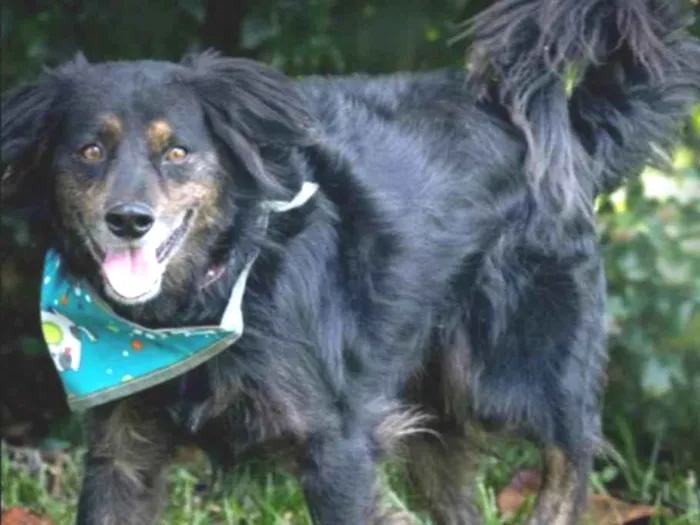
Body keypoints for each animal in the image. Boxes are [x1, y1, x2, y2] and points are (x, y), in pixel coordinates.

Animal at [2, 0, 696, 520]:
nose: (128, 221)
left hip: (515, 377)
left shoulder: (336, 446)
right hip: (434, 413)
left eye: (176, 152)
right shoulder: (122, 452)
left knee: (569, 461)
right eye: (90, 150)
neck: (200, 301)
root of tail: (570, 138)